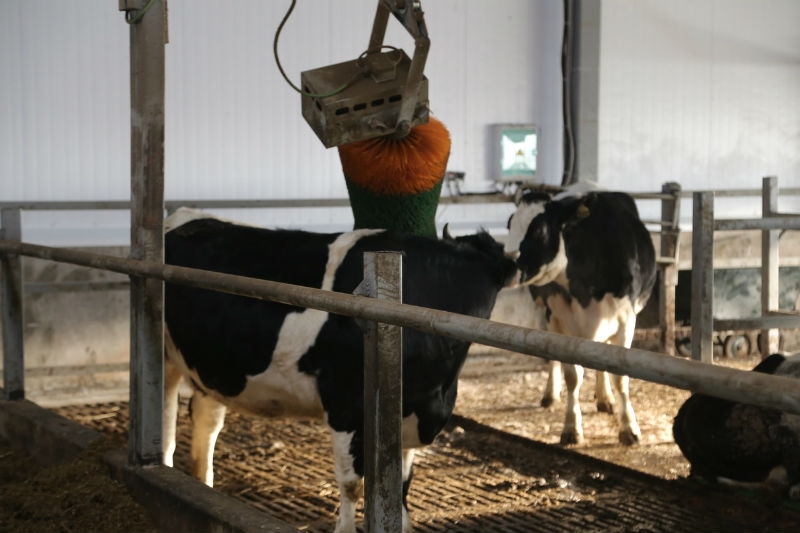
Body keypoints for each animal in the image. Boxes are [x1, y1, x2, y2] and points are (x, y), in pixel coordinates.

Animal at [161, 208, 517, 533]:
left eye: (482, 291)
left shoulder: (411, 415)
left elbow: (402, 483)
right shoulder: (346, 405)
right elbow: (353, 485)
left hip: (213, 368)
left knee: (206, 422)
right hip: (165, 359)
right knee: (166, 423)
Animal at [504, 183, 657, 446]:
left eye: (539, 229)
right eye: (510, 223)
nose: (505, 262)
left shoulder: (626, 319)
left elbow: (619, 376)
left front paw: (629, 428)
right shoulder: (558, 319)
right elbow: (572, 376)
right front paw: (571, 428)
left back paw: (605, 398)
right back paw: (551, 394)